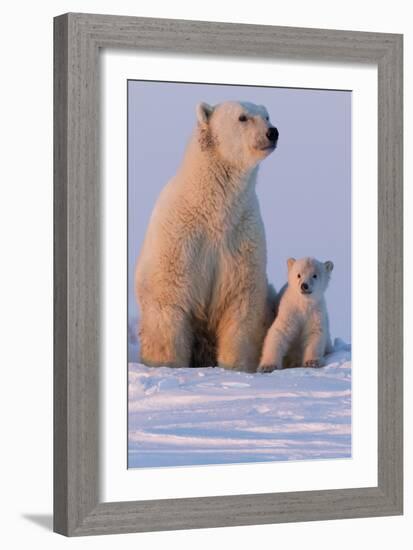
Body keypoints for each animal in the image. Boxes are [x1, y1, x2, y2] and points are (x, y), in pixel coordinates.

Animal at [134, 101, 276, 374]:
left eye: (266, 116)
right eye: (243, 117)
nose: (272, 132)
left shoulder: (241, 237)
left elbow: (240, 304)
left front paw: (235, 368)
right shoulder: (179, 237)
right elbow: (168, 299)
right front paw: (167, 365)